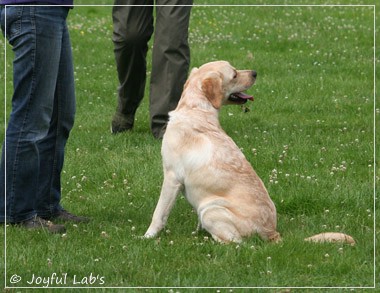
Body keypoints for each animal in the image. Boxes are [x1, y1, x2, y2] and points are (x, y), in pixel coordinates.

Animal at [144, 60, 280, 243]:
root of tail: (271, 232)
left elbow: (158, 214)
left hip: (209, 209)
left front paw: (147, 236)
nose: (255, 72)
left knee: (235, 242)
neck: (196, 109)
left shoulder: (172, 177)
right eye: (234, 74)